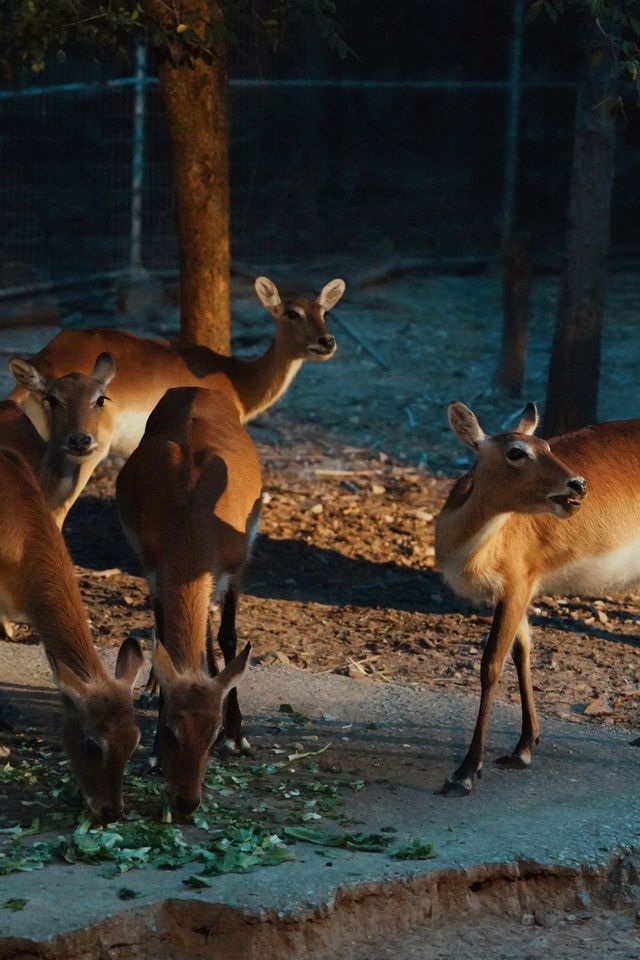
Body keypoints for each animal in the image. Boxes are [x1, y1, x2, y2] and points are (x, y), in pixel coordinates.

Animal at [116, 386, 262, 812]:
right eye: (170, 731)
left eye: (212, 734)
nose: (186, 802)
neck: (190, 518)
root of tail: (196, 389)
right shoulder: (155, 572)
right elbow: (164, 638)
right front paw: (151, 756)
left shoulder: (234, 571)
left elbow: (229, 638)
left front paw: (238, 736)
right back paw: (152, 687)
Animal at [430, 402, 640, 800]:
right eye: (517, 451)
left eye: (546, 445)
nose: (578, 484)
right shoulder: (517, 590)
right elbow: (521, 651)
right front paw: (523, 749)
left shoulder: (516, 584)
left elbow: (491, 664)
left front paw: (464, 773)